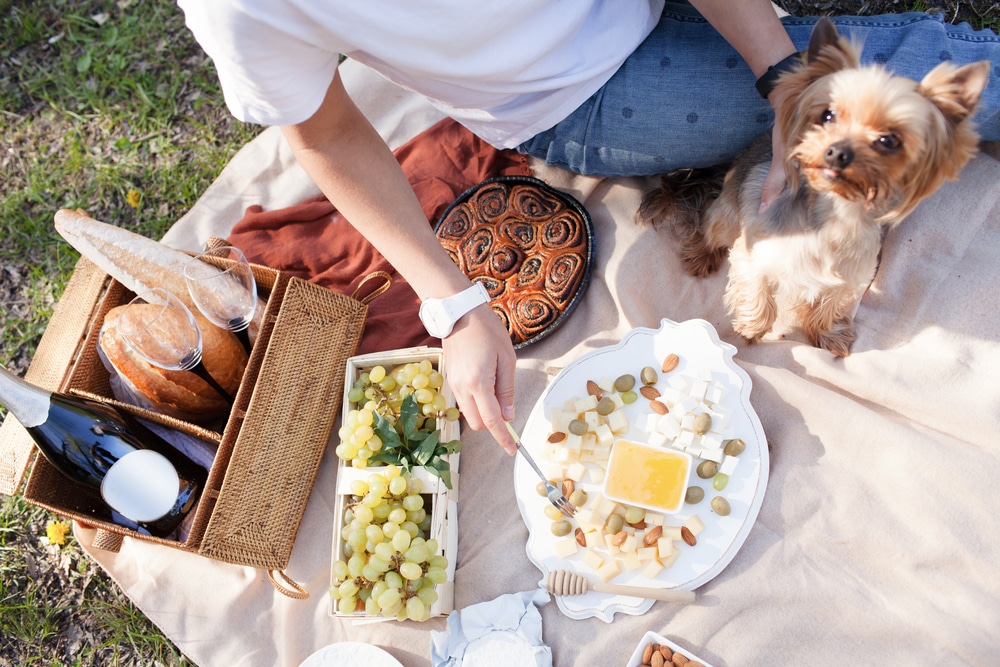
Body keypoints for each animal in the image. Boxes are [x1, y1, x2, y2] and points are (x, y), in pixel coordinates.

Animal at [636, 18, 988, 358]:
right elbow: (757, 292)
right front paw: (752, 329)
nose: (837, 152)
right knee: (711, 228)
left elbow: (831, 303)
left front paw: (827, 333)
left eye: (890, 140)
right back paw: (702, 255)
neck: (833, 217)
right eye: (828, 115)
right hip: (727, 216)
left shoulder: (849, 277)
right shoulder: (753, 253)